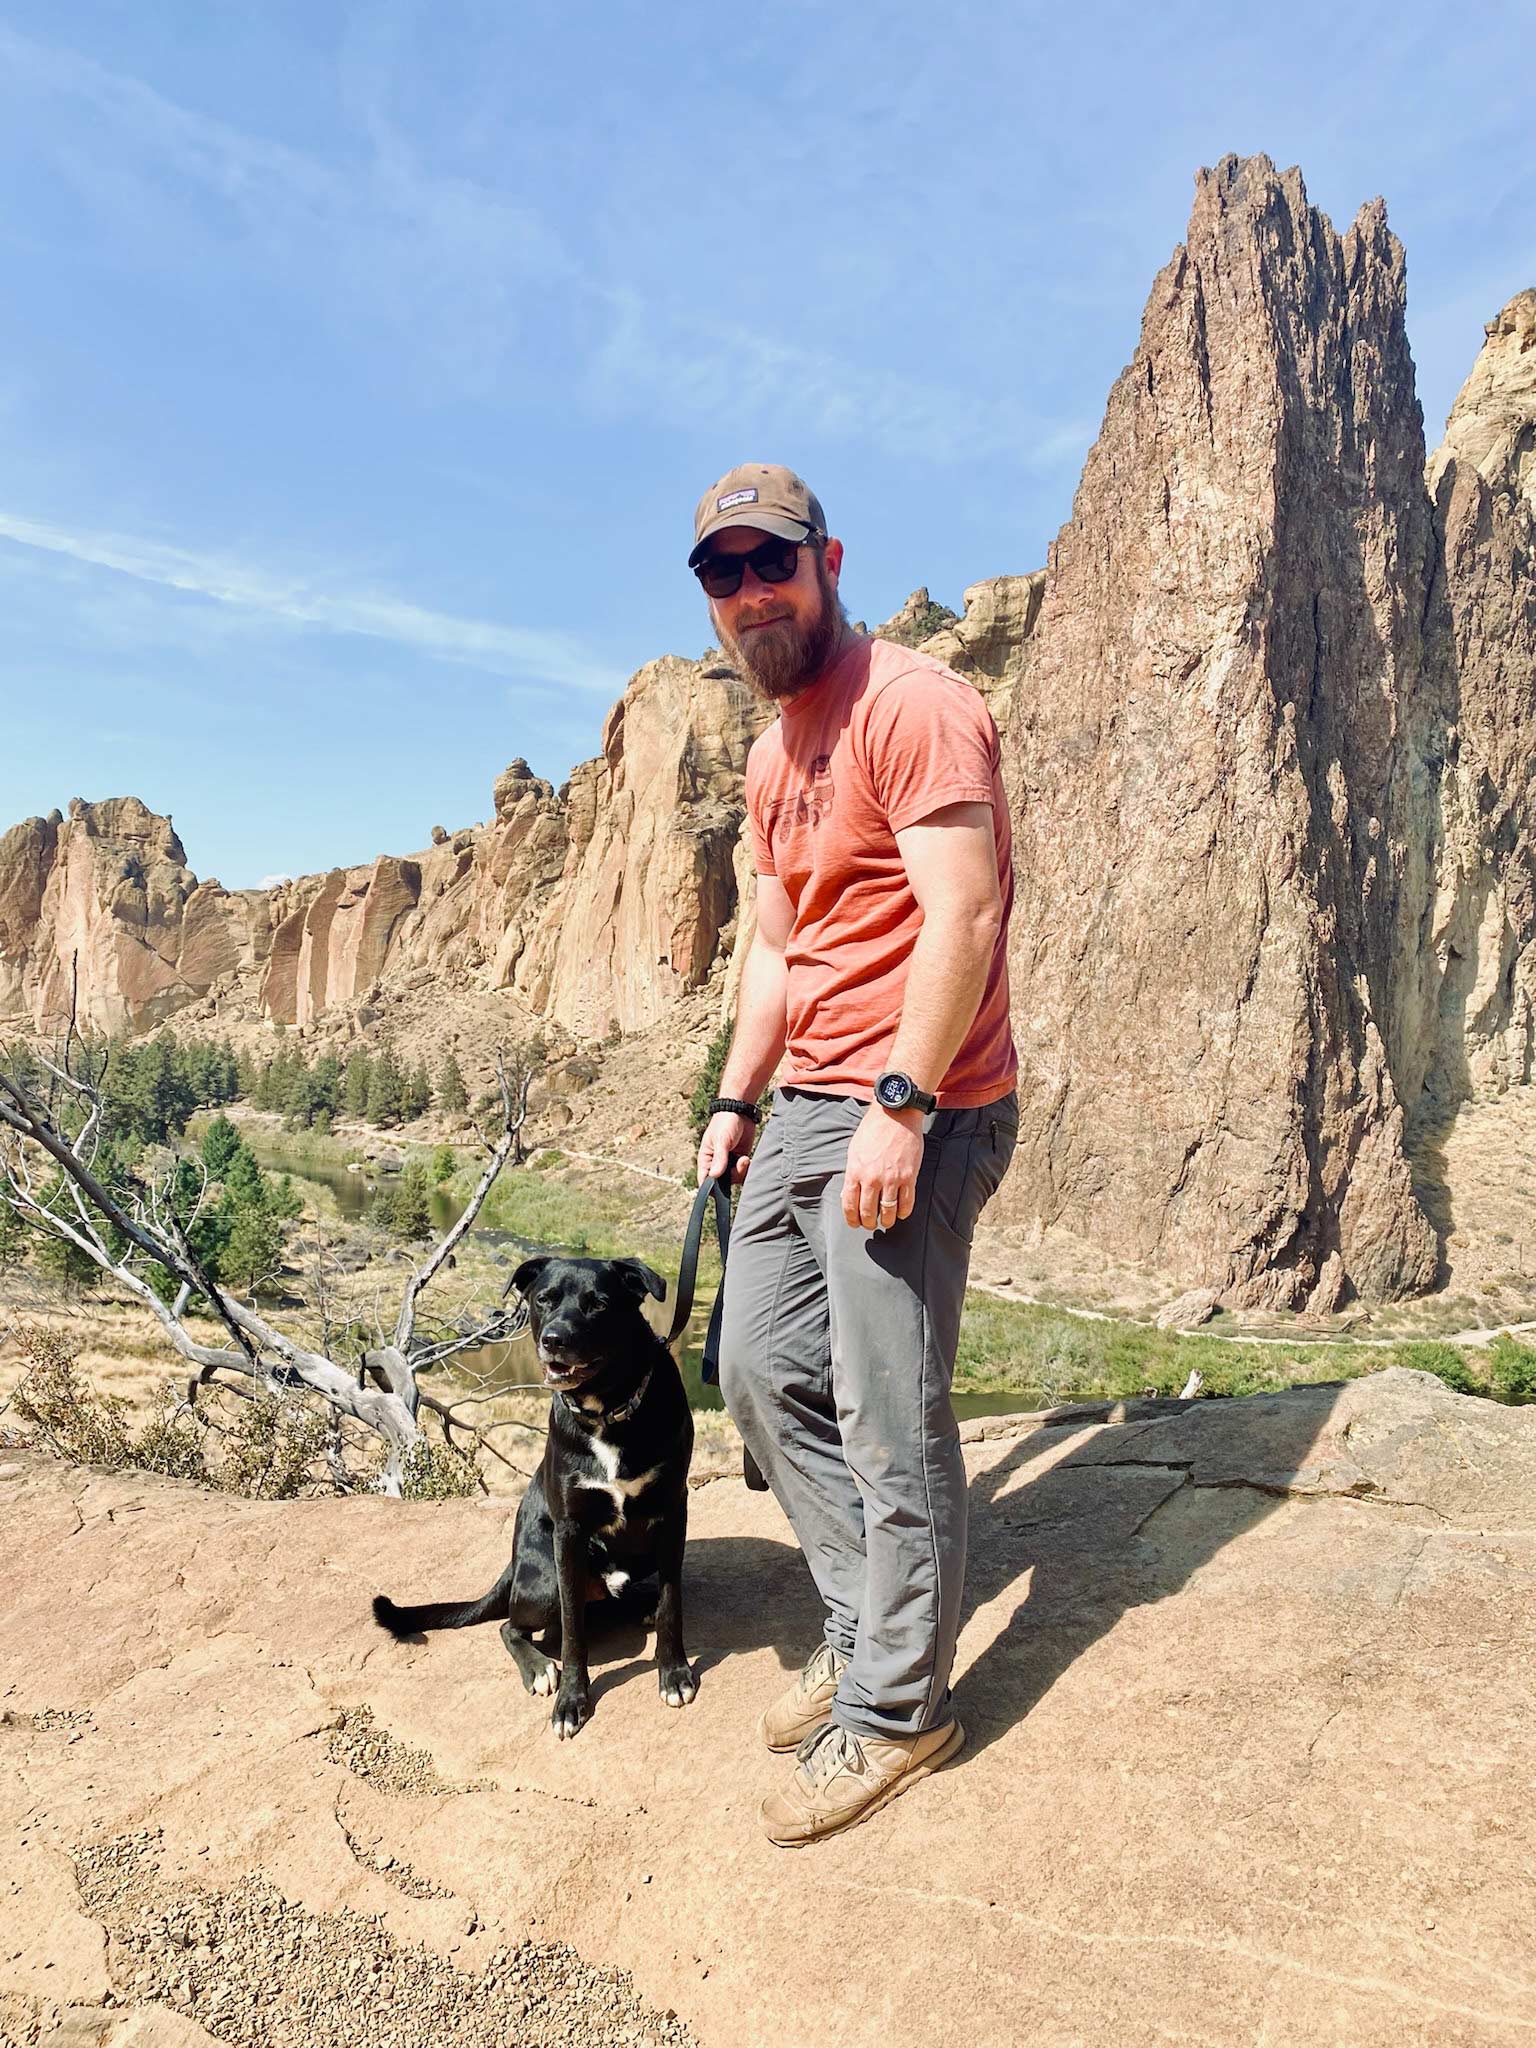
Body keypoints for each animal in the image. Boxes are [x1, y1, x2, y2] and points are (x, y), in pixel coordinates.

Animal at [374, 1245, 696, 1744]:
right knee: (512, 1626)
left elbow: (671, 1602)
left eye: (599, 1303)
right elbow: (574, 1636)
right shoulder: (569, 1531)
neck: (607, 1412)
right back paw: (540, 1668)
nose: (554, 1339)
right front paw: (572, 1701)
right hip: (545, 1581)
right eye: (543, 1299)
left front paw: (674, 1671)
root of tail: (512, 1566)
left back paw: (638, 1606)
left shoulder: (672, 1510)